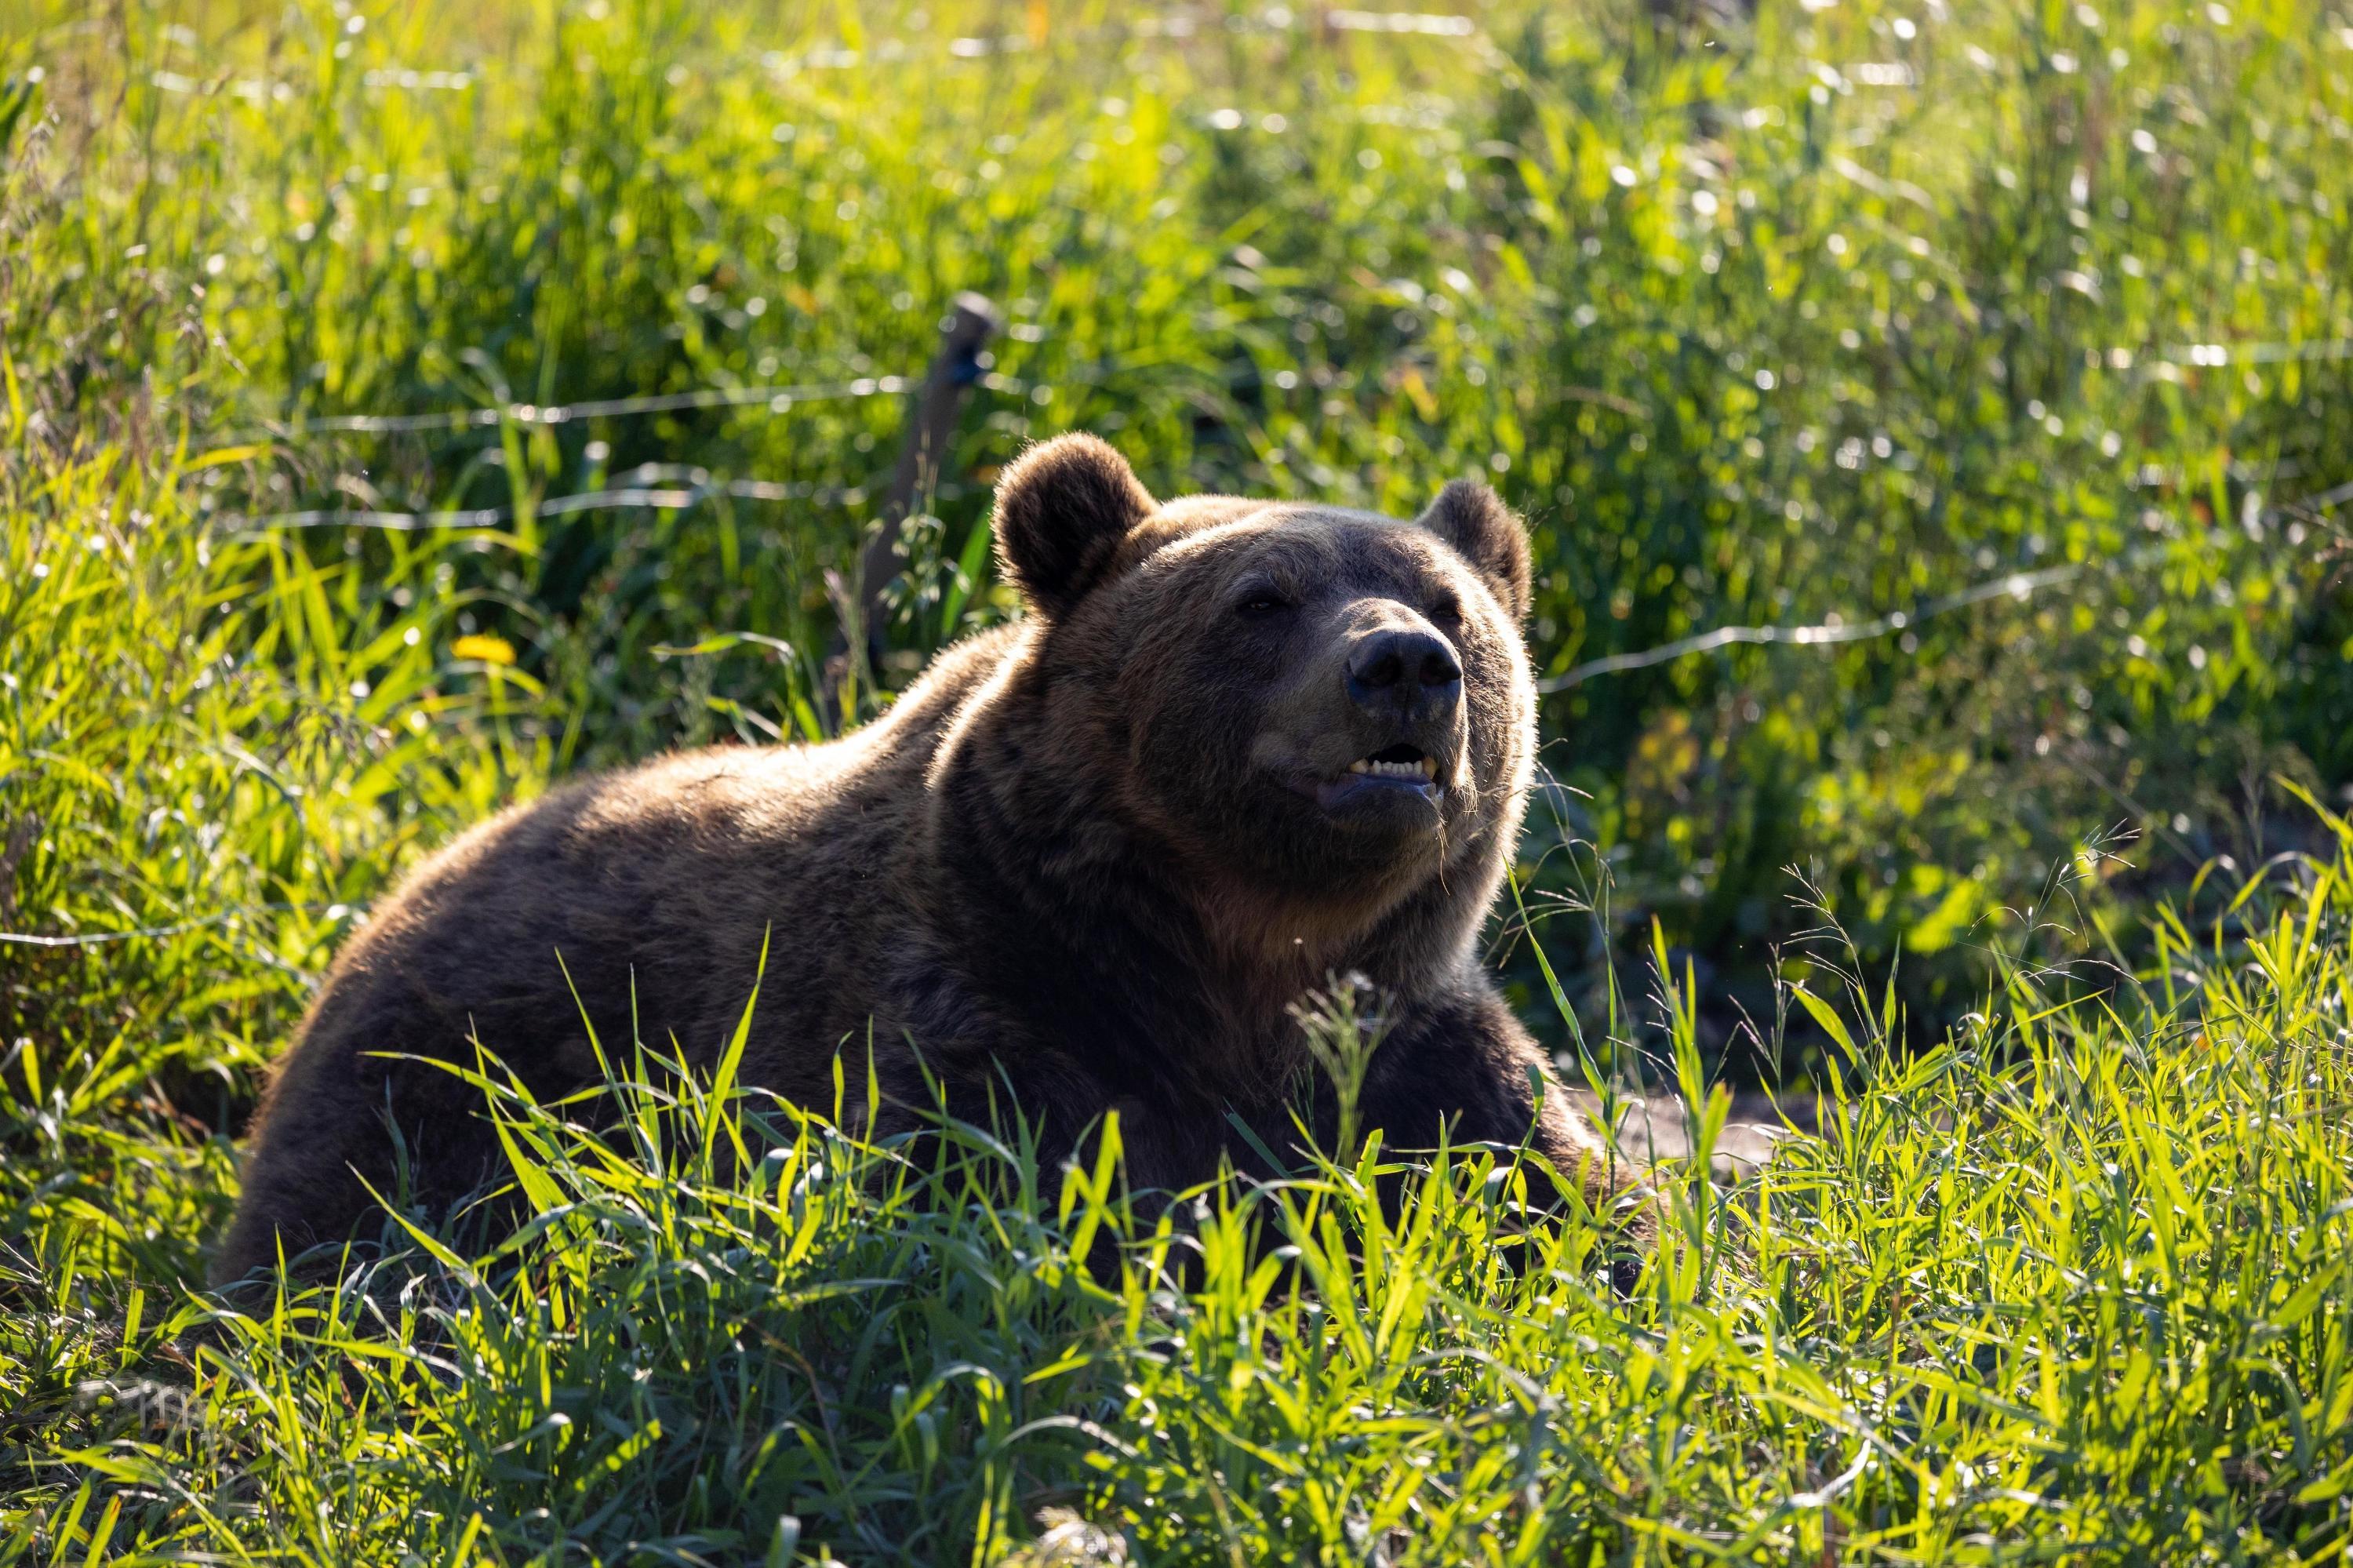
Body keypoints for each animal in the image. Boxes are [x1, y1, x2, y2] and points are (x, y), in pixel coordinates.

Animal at [216, 431, 1638, 1280]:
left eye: (1454, 603)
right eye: (1262, 599)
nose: (1404, 663)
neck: (1234, 962)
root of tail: (397, 894)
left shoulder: (1417, 1047)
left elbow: (1576, 1210)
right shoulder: (987, 1015)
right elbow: (1005, 1203)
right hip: (443, 1065)